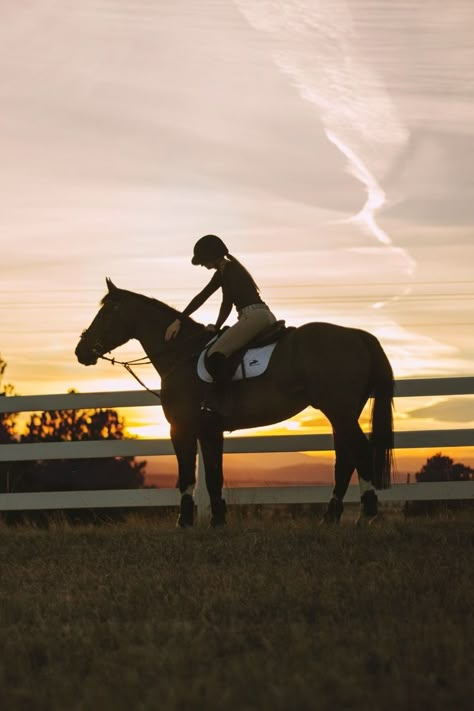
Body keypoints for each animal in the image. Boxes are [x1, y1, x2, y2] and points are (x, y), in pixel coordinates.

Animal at [75, 280, 392, 524]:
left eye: (106, 313)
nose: (81, 351)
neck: (181, 353)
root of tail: (358, 336)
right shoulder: (209, 429)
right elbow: (214, 473)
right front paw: (217, 520)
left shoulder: (182, 426)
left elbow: (187, 474)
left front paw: (185, 521)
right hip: (342, 413)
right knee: (346, 458)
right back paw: (331, 517)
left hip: (339, 411)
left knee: (360, 452)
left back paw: (366, 514)